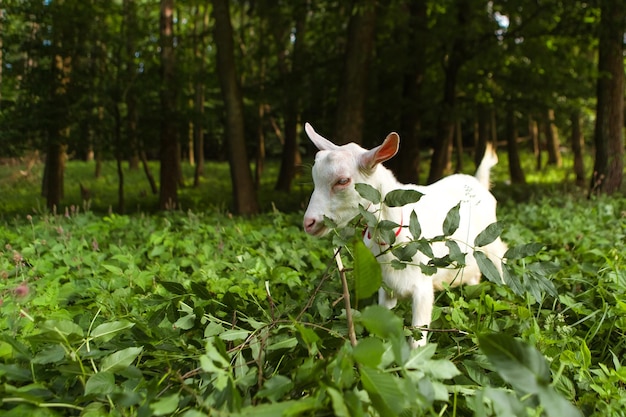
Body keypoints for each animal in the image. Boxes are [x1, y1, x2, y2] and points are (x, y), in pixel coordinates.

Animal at [304, 122, 508, 346]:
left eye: (342, 181)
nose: (308, 223)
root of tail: (478, 182)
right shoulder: (386, 288)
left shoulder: (423, 289)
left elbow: (417, 339)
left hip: (491, 241)